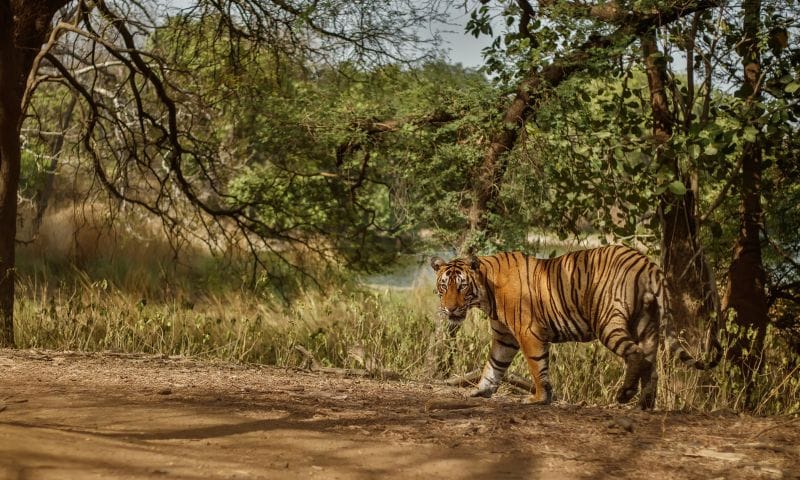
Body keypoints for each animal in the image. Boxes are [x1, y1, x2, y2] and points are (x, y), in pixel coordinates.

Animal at [431, 244, 721, 410]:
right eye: (444, 286)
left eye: (462, 287)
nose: (450, 309)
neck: (485, 293)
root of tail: (645, 262)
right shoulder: (505, 337)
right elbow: (493, 365)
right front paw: (480, 391)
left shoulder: (527, 332)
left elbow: (537, 367)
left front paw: (539, 398)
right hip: (647, 323)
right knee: (651, 364)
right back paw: (644, 404)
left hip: (608, 321)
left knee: (636, 354)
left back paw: (625, 395)